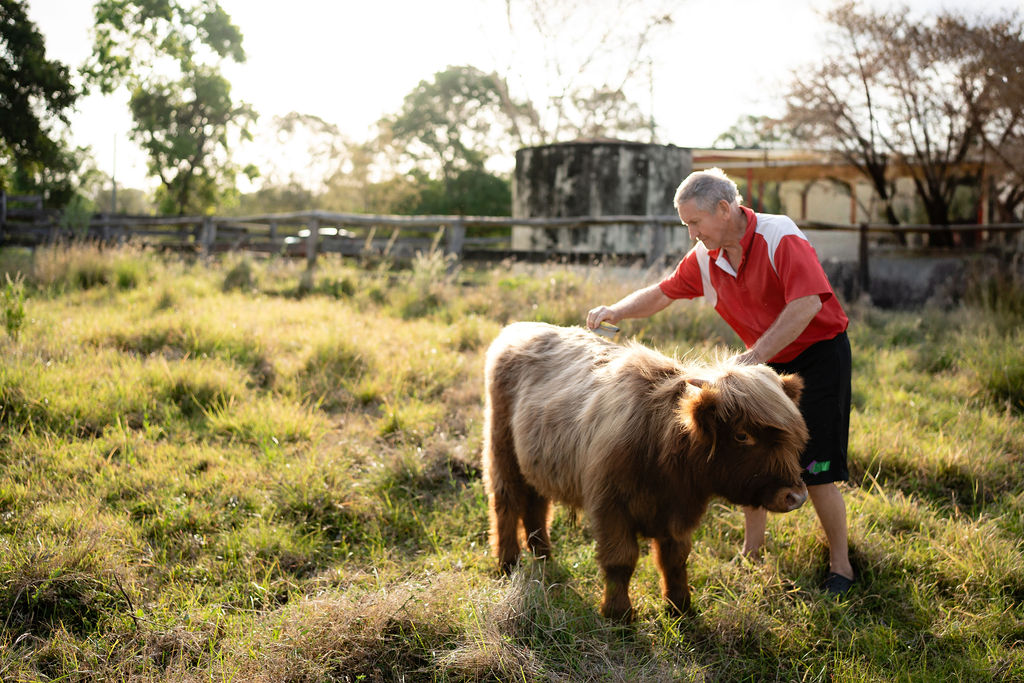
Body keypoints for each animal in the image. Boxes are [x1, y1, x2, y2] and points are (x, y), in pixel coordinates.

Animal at [483, 323, 811, 622]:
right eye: (742, 435)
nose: (795, 496)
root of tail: (519, 328)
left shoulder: (679, 513)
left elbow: (675, 559)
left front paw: (680, 607)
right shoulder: (610, 507)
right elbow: (621, 560)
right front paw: (619, 615)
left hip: (536, 460)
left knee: (536, 503)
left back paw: (543, 554)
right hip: (502, 450)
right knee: (507, 501)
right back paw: (508, 562)